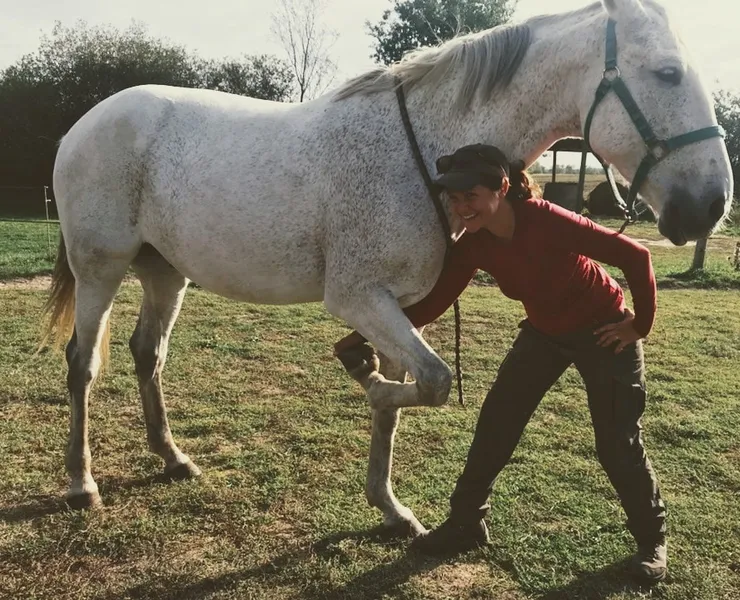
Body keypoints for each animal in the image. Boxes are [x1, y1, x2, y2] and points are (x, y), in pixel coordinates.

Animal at [43, 0, 732, 536]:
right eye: (668, 72)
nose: (712, 204)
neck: (423, 148)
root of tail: (85, 123)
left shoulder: (398, 305)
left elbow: (406, 397)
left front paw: (391, 507)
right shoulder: (359, 300)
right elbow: (430, 382)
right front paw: (369, 384)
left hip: (165, 272)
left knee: (147, 354)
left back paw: (172, 457)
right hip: (101, 269)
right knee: (83, 363)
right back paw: (81, 483)